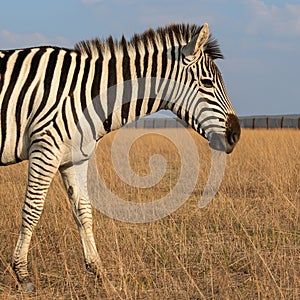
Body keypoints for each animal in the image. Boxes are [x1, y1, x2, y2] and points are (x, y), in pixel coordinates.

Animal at [0, 23, 239, 290]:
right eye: (207, 83)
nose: (236, 134)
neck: (87, 94)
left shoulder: (74, 157)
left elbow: (83, 211)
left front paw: (98, 270)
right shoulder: (45, 148)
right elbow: (32, 209)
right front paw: (22, 273)